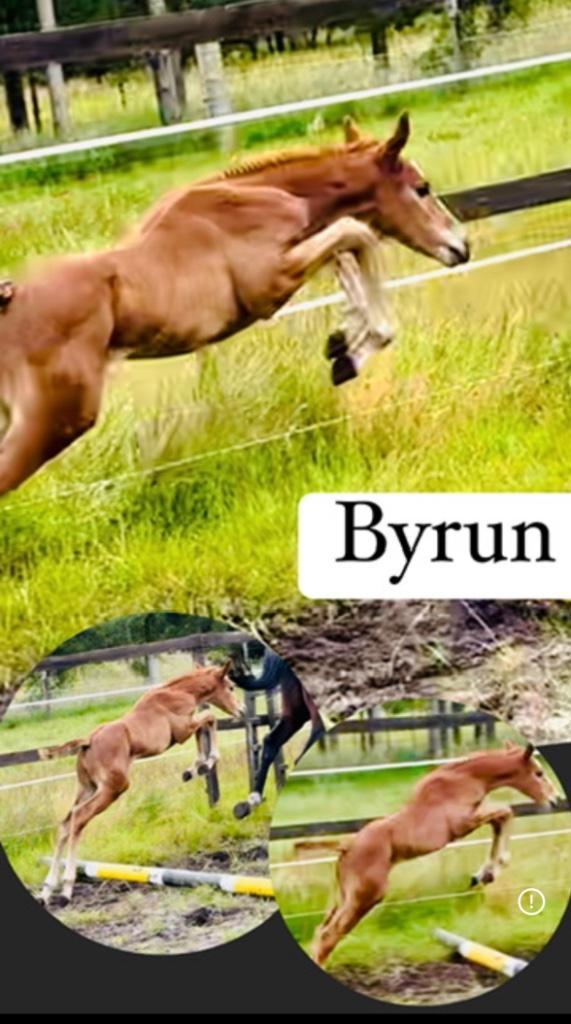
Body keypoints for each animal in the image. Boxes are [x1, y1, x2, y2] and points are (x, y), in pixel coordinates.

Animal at [0, 112, 468, 496]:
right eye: (421, 189)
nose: (461, 246)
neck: (262, 196)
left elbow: (346, 251)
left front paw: (342, 345)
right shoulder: (270, 285)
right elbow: (356, 233)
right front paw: (354, 351)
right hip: (56, 420)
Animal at [38, 661, 243, 907]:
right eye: (231, 687)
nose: (241, 710)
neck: (179, 692)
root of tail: (88, 741)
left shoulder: (187, 727)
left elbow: (205, 724)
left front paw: (196, 768)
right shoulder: (182, 730)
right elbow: (209, 717)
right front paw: (206, 762)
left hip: (88, 788)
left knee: (65, 823)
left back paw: (47, 890)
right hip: (113, 788)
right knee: (79, 817)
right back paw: (67, 888)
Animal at [308, 743, 558, 966]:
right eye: (538, 773)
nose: (554, 800)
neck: (465, 777)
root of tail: (347, 845)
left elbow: (501, 819)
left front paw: (485, 875)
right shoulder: (462, 824)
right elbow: (506, 811)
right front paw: (490, 871)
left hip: (345, 895)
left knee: (321, 929)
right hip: (367, 896)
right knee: (329, 934)